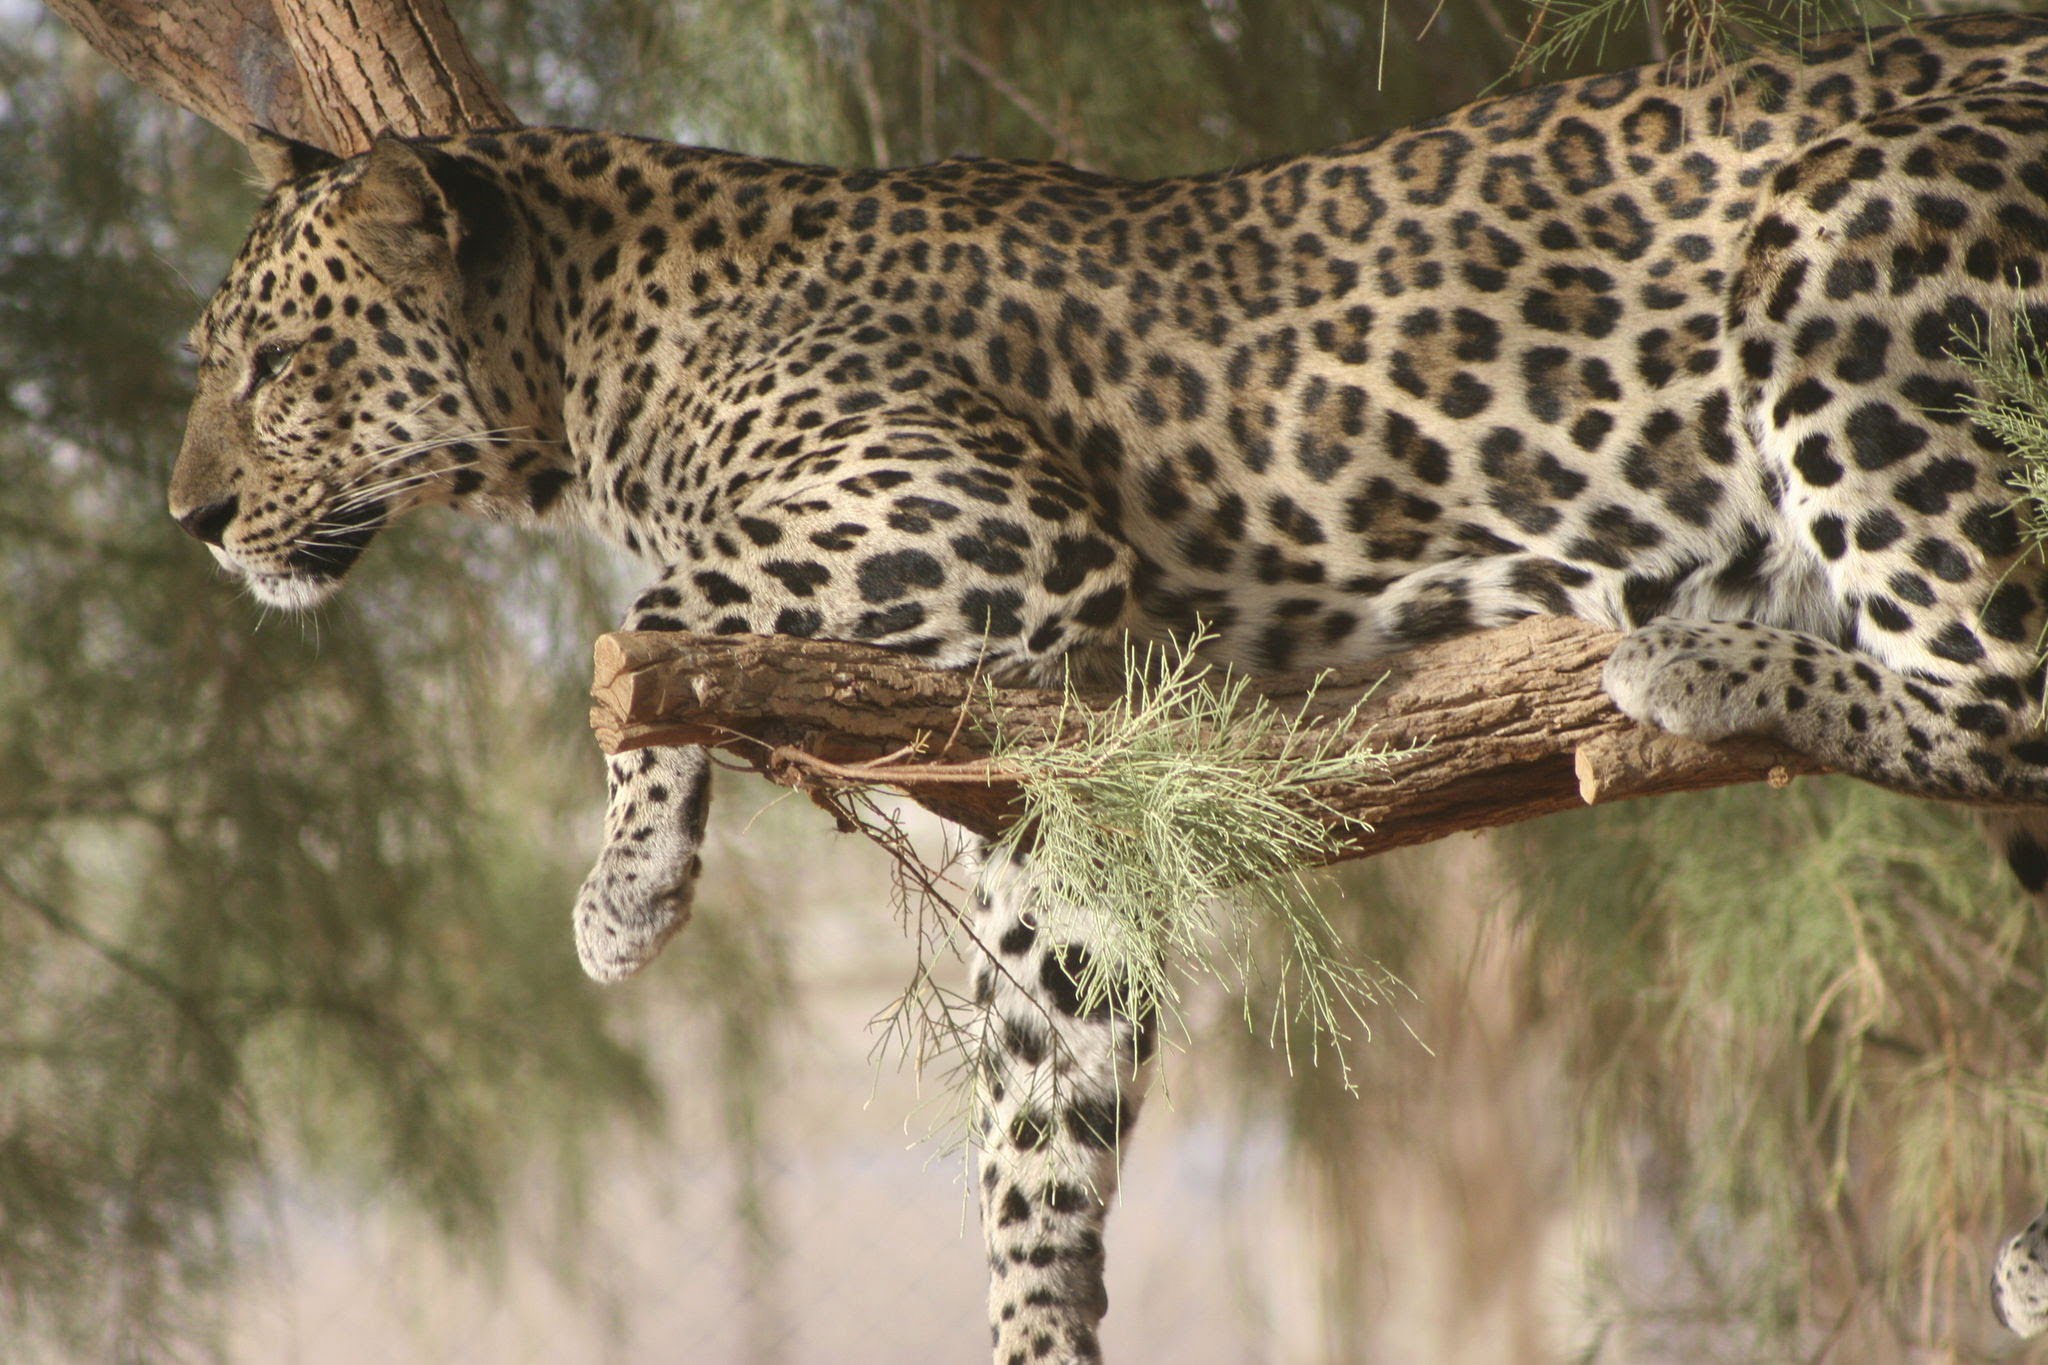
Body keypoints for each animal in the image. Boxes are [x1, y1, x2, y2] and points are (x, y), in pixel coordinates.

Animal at [159, 15, 2048, 1358]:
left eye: (276, 366)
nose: (188, 522)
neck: (586, 360)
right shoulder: (1048, 799)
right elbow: (1037, 1123)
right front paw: (1032, 1327)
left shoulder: (990, 524)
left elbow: (658, 609)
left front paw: (625, 888)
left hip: (1843, 249)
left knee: (2001, 683)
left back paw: (1695, 658)